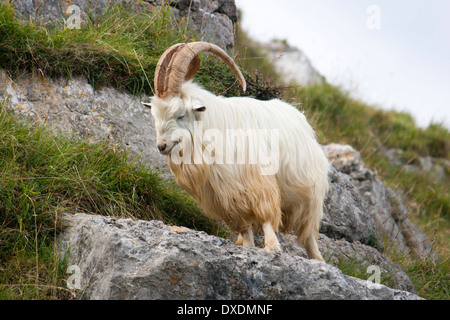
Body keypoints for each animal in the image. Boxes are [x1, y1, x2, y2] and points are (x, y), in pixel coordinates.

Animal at [144, 42, 330, 260]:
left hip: (310, 194)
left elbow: (267, 216)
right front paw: (248, 246)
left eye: (180, 115)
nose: (161, 146)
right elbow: (243, 226)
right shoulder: (224, 196)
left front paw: (272, 246)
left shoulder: (258, 182)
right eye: (155, 115)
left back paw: (317, 258)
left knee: (309, 233)